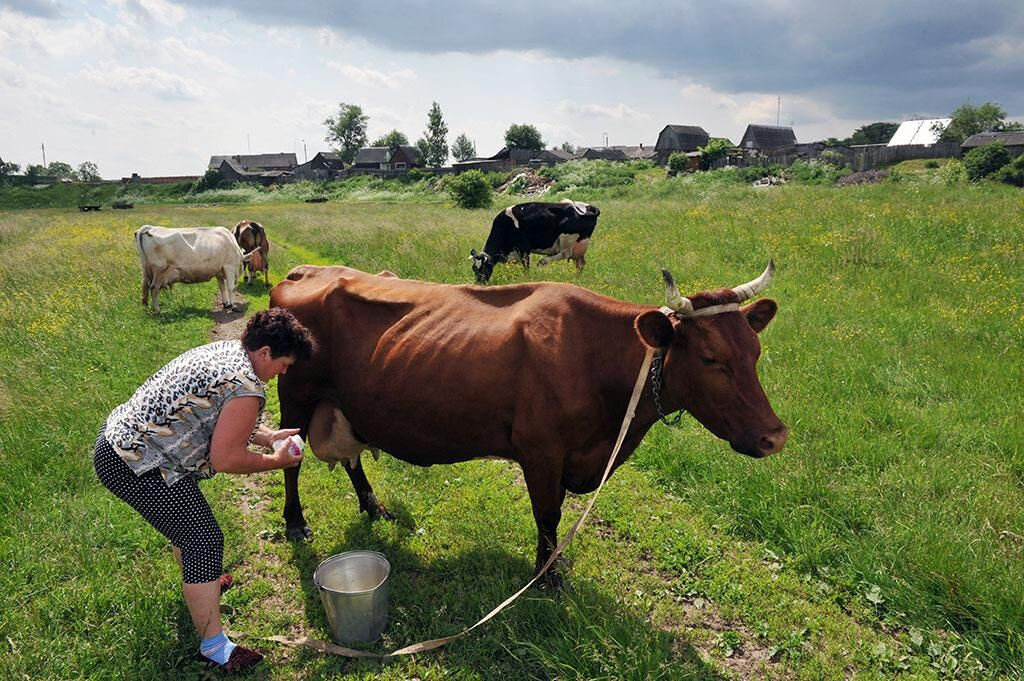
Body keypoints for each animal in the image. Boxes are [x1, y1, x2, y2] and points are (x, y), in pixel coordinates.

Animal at [270, 260, 782, 585]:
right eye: (711, 357)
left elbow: (554, 513)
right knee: (291, 461)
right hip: (294, 396)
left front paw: (553, 564)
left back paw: (374, 507)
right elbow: (547, 513)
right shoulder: (541, 451)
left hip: (345, 402)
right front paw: (546, 576)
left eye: (755, 351)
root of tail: (301, 272)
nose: (774, 436)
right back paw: (296, 523)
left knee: (352, 457)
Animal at [468, 196, 598, 280]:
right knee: (580, 263)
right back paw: (577, 278)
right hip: (580, 246)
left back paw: (542, 262)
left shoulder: (524, 249)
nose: (480, 283)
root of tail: (589, 207)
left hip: (567, 239)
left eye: (484, 268)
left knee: (565, 253)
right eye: (474, 269)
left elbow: (526, 267)